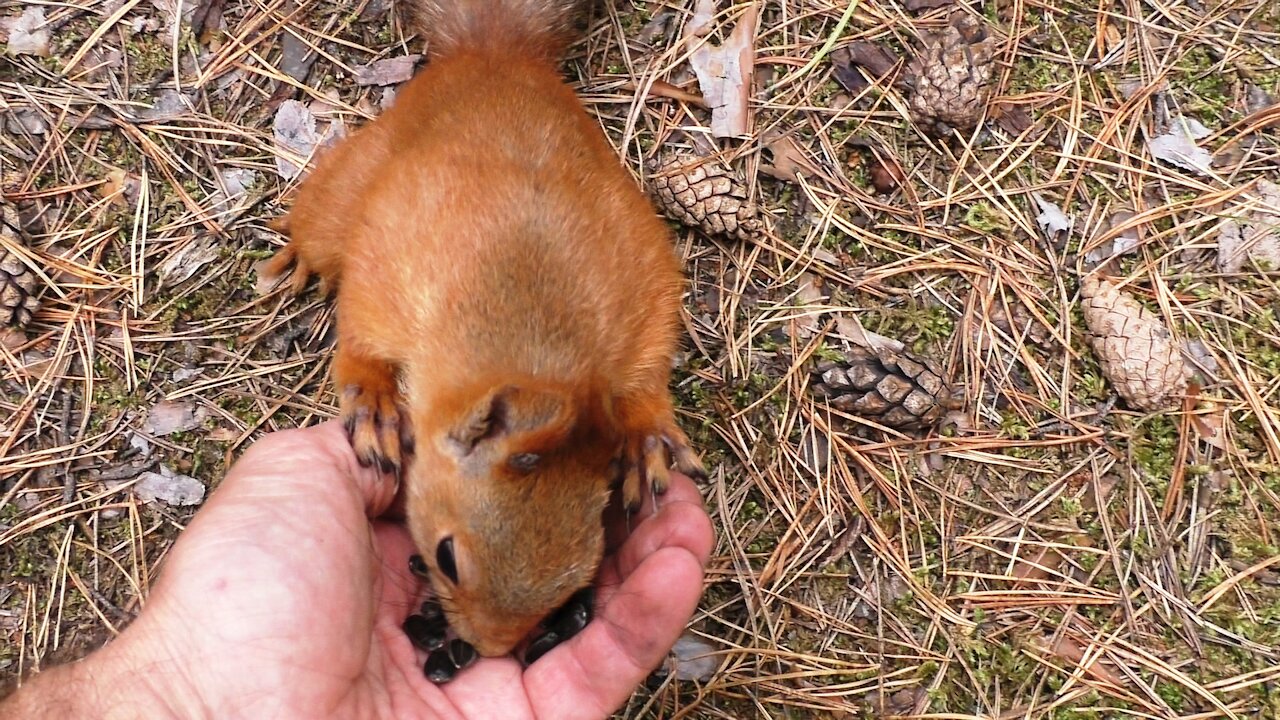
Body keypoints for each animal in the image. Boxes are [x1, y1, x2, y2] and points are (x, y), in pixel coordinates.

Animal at [258, 0, 701, 655]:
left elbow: (643, 383)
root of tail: (494, 56)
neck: (533, 342)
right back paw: (301, 259)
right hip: (356, 180)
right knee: (325, 218)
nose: (490, 650)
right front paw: (375, 407)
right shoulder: (390, 284)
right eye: (446, 559)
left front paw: (644, 438)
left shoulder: (633, 316)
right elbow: (361, 344)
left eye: (576, 581)